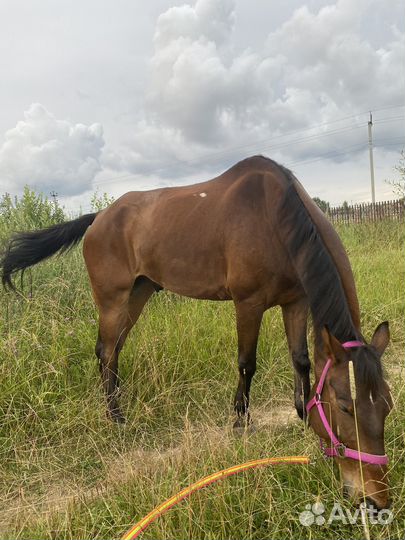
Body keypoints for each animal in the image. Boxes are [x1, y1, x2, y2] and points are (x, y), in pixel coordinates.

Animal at [0, 156, 392, 510]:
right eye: (346, 407)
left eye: (387, 405)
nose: (374, 501)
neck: (276, 218)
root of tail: (98, 218)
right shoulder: (248, 303)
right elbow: (247, 362)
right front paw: (241, 423)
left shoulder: (295, 301)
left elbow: (301, 360)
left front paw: (300, 413)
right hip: (113, 299)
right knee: (107, 350)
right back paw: (117, 419)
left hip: (139, 293)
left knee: (114, 350)